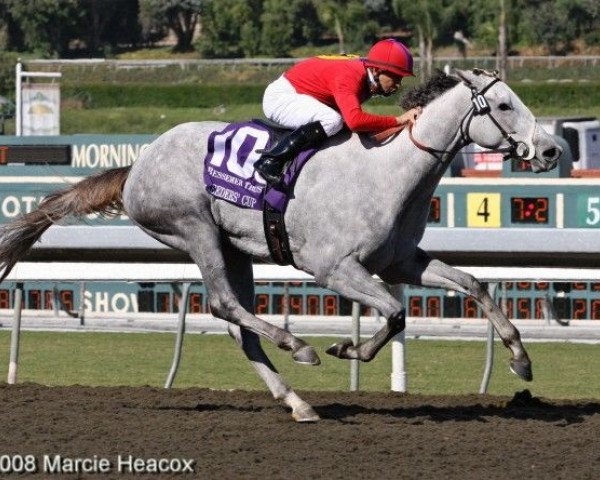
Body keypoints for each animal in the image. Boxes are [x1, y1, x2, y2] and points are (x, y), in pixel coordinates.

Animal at [0, 69, 564, 422]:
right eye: (503, 104)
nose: (551, 150)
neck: (387, 173)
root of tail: (136, 164)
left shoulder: (401, 260)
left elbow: (472, 284)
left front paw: (520, 360)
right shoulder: (334, 269)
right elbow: (394, 313)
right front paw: (346, 347)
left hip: (236, 250)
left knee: (239, 327)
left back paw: (297, 402)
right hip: (194, 228)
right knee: (224, 305)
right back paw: (299, 347)